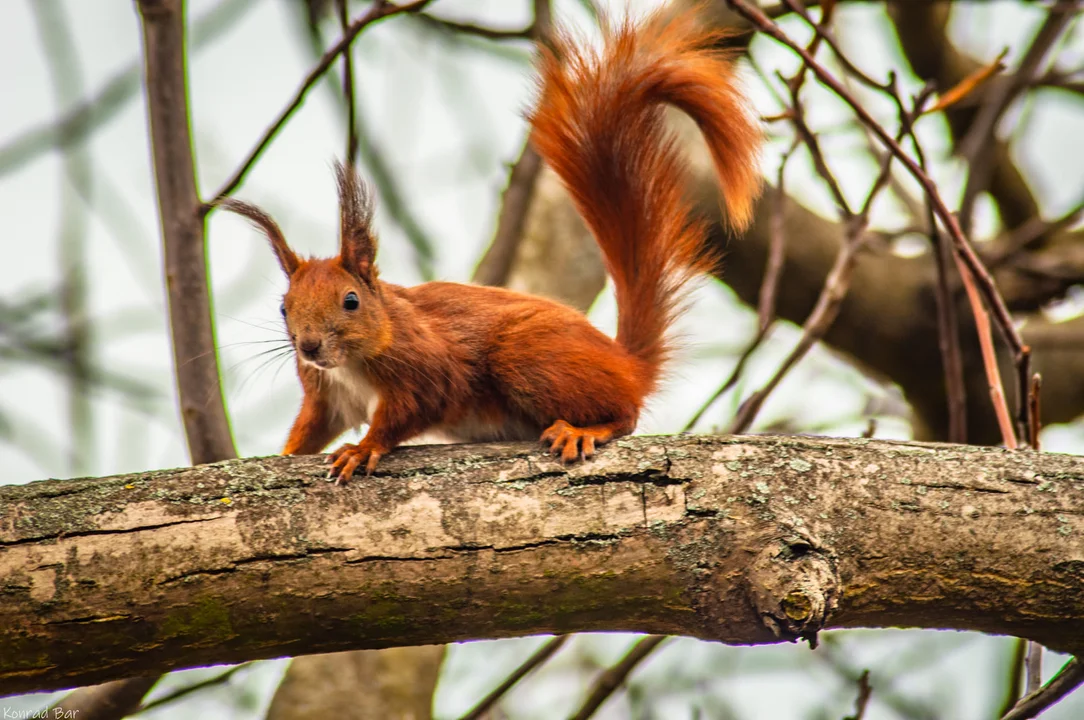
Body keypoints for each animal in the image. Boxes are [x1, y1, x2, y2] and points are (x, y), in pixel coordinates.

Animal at [217, 7, 763, 483]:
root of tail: (626, 363)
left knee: (626, 414)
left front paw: (364, 447)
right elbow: (310, 429)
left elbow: (407, 412)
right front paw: (281, 454)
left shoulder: (428, 369)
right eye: (284, 307)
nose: (309, 345)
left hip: (528, 355)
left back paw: (584, 429)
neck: (352, 363)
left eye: (351, 301)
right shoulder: (324, 395)